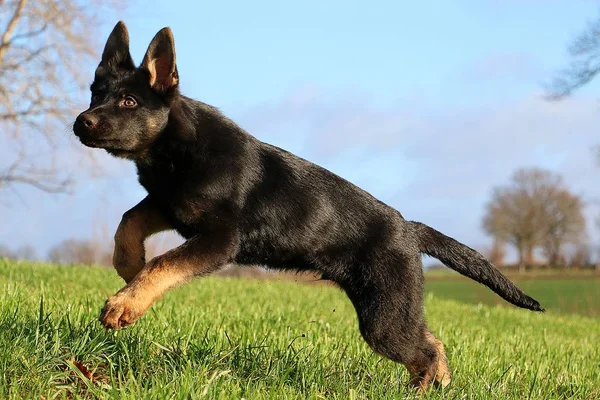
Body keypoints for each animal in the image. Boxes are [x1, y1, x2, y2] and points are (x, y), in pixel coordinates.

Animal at [71, 21, 544, 390]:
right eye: (96, 94)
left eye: (129, 102)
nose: (81, 122)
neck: (173, 149)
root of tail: (410, 228)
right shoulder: (168, 205)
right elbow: (128, 222)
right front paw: (128, 266)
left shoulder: (220, 239)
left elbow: (163, 264)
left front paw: (124, 304)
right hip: (392, 310)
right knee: (433, 342)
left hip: (383, 316)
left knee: (426, 349)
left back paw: (426, 388)